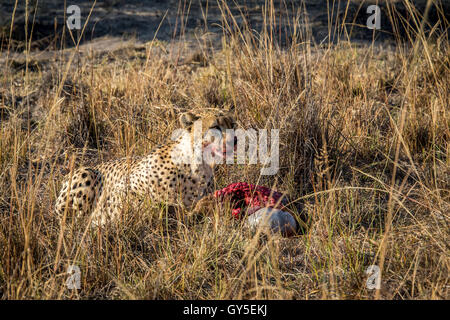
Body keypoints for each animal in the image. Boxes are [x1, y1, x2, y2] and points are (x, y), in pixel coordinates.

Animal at [55, 110, 237, 225]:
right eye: (215, 126)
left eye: (233, 125)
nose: (234, 140)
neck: (197, 165)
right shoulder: (120, 192)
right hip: (85, 173)